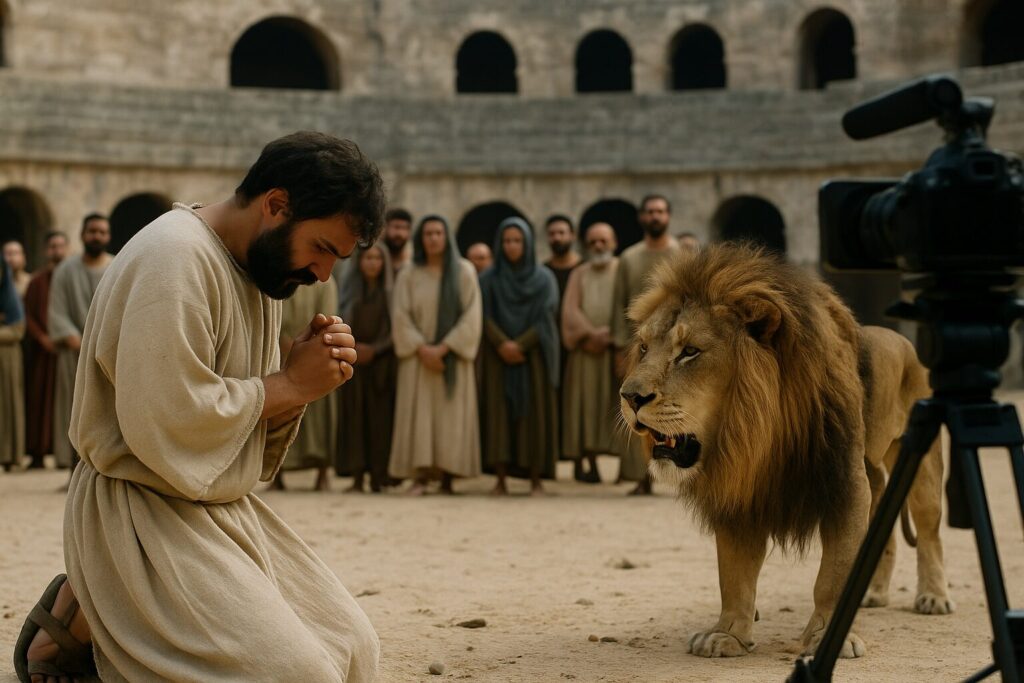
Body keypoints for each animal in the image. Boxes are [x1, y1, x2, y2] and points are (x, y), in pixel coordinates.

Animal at [619, 243, 953, 659]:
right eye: (644, 347)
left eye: (690, 351)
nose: (629, 397)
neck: (760, 435)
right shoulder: (740, 492)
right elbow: (734, 573)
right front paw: (727, 634)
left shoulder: (845, 482)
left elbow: (833, 574)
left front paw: (829, 638)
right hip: (873, 469)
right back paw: (873, 594)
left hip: (922, 462)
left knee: (929, 530)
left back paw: (934, 597)